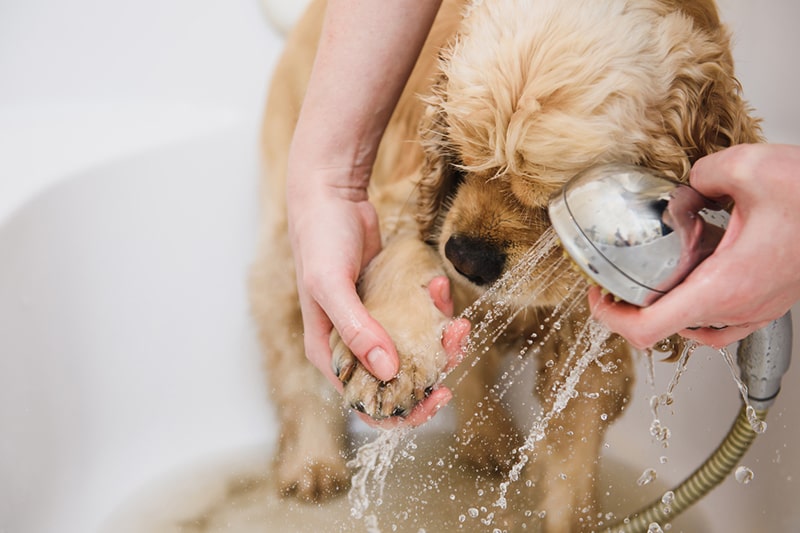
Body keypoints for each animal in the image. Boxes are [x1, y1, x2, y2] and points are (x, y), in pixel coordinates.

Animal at [252, 1, 764, 528]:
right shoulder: (402, 200)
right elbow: (402, 254)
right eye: (460, 155)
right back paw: (313, 464)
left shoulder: (591, 336)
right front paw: (389, 364)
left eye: (556, 200)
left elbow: (573, 454)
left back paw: (489, 441)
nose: (465, 259)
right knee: (294, 356)